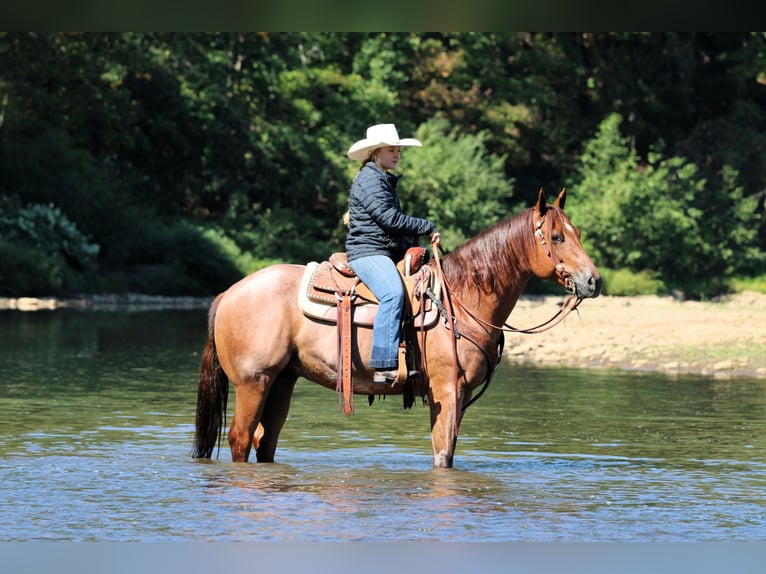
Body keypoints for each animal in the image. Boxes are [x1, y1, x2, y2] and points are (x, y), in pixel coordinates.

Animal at [193, 187, 602, 468]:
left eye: (578, 233)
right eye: (557, 237)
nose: (593, 281)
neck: (463, 299)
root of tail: (229, 293)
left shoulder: (460, 395)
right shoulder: (447, 390)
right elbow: (443, 456)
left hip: (281, 381)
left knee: (265, 441)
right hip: (253, 382)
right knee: (240, 439)